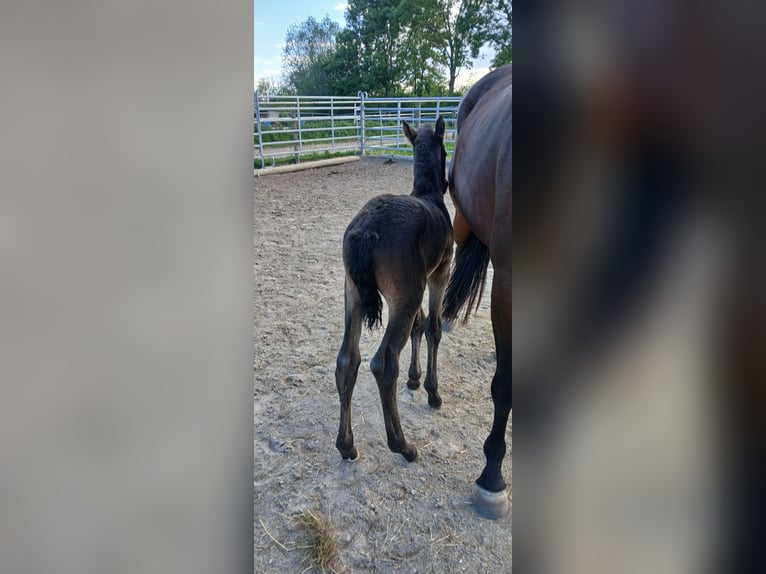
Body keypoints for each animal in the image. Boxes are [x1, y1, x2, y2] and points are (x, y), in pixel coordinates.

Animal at [335, 116, 453, 463]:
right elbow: (432, 327)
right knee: (384, 364)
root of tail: (367, 229)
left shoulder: (420, 282)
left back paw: (346, 445)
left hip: (354, 295)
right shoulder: (439, 274)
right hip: (405, 297)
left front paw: (414, 379)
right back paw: (403, 445)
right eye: (446, 151)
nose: (447, 183)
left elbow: (419, 324)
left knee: (347, 359)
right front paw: (431, 390)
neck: (429, 196)